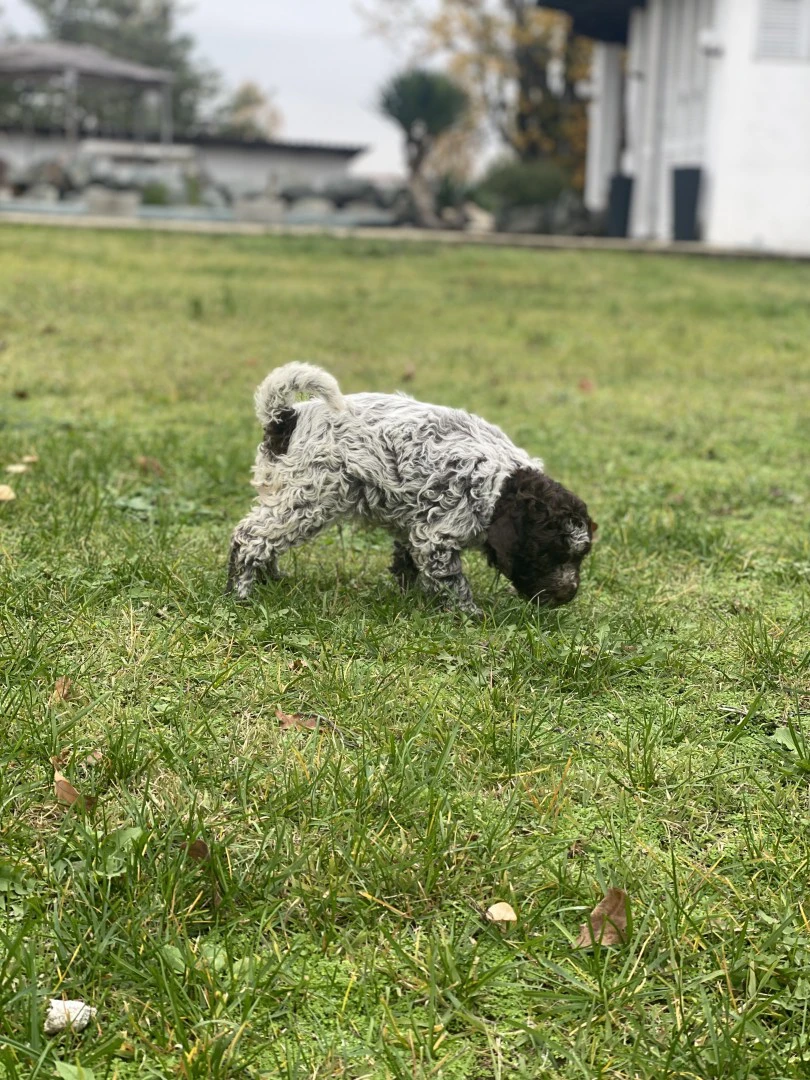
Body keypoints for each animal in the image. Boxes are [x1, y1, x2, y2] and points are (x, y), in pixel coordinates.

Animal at [228, 365, 596, 613]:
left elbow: (407, 563)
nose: (567, 595)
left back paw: (271, 578)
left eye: (579, 558)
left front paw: (410, 597)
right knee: (250, 538)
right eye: (546, 555)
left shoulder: (416, 522)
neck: (503, 486)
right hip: (308, 498)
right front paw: (471, 615)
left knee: (267, 541)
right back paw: (240, 592)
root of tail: (286, 418)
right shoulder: (439, 535)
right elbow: (452, 581)